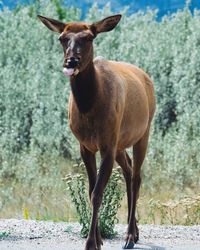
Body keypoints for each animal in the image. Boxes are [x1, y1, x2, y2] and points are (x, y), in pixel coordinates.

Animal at [37, 14, 156, 250]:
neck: (89, 109)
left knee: (136, 177)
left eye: (89, 37)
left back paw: (130, 236)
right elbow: (91, 189)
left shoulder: (107, 144)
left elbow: (97, 194)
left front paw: (91, 242)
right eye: (62, 38)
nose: (71, 62)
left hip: (143, 132)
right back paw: (135, 231)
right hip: (120, 142)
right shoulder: (85, 145)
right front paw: (99, 238)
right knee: (128, 170)